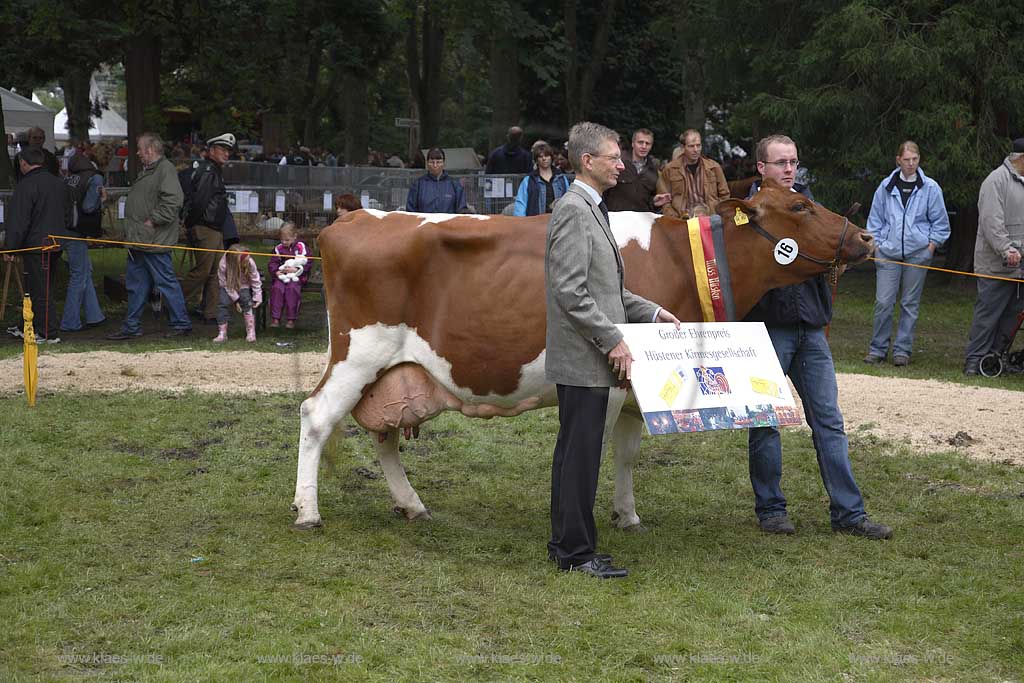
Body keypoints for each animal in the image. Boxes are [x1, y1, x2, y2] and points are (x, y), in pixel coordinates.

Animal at [292, 180, 876, 528]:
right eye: (799, 205)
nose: (867, 237)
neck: (681, 259)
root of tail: (352, 218)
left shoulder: (637, 388)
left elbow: (627, 453)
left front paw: (627, 515)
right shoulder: (613, 380)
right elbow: (595, 451)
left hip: (392, 371)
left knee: (382, 433)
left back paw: (411, 504)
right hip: (359, 353)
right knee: (317, 415)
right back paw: (307, 510)